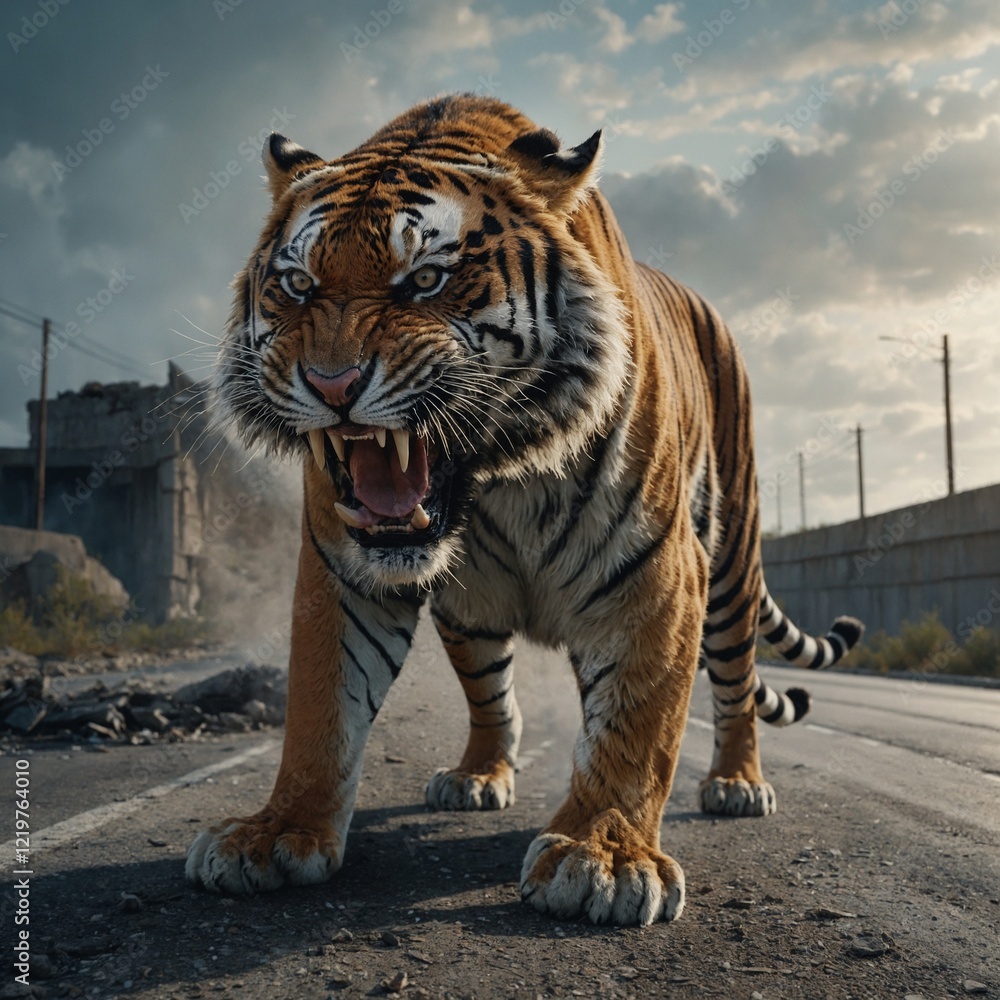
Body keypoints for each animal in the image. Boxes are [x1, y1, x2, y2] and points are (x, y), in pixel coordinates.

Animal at [185, 94, 863, 926]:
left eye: (426, 279)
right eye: (299, 285)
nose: (331, 384)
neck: (496, 481)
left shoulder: (658, 573)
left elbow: (638, 724)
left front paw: (603, 857)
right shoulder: (342, 568)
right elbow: (320, 708)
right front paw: (277, 832)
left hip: (731, 566)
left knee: (734, 686)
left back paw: (737, 783)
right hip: (470, 613)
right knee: (492, 698)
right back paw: (478, 774)